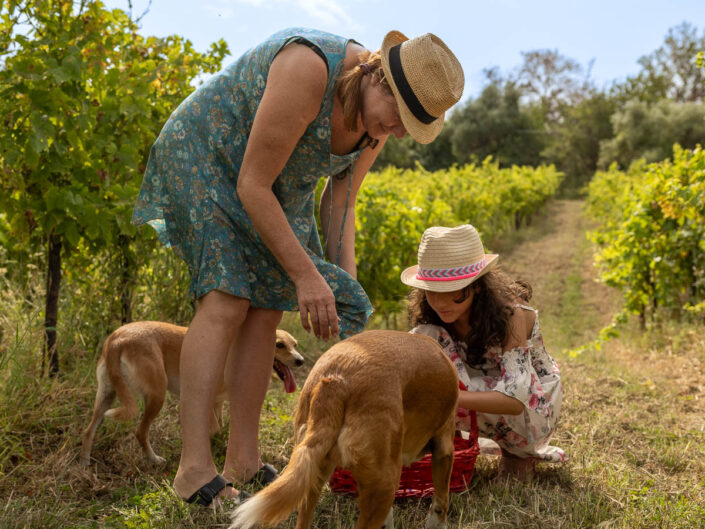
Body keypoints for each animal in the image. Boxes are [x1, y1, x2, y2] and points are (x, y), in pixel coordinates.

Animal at [80, 320, 302, 464]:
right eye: (279, 345)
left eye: (295, 344)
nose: (301, 360)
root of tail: (117, 339)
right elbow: (214, 430)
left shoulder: (218, 403)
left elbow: (221, 427)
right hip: (156, 395)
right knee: (140, 432)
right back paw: (154, 460)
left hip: (106, 397)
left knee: (88, 431)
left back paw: (85, 465)